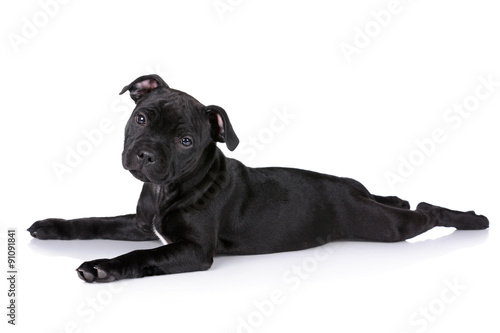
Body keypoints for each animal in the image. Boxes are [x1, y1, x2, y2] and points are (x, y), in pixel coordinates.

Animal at [26, 74, 488, 282]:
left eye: (186, 141)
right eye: (142, 118)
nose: (145, 153)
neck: (165, 188)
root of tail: (349, 190)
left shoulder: (192, 250)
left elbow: (140, 256)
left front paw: (103, 267)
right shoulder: (141, 224)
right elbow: (93, 221)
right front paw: (50, 226)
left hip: (385, 227)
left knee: (425, 211)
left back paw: (473, 219)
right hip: (371, 201)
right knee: (398, 200)